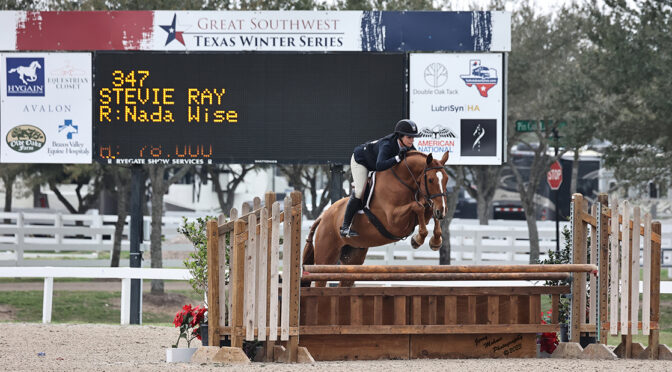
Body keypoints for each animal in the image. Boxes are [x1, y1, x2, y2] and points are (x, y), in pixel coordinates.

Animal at [302, 150, 448, 286]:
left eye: (446, 179)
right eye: (430, 180)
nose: (442, 211)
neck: (403, 182)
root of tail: (322, 217)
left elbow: (427, 209)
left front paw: (435, 241)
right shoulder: (394, 221)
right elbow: (418, 207)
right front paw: (417, 239)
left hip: (353, 259)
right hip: (325, 258)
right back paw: (345, 230)